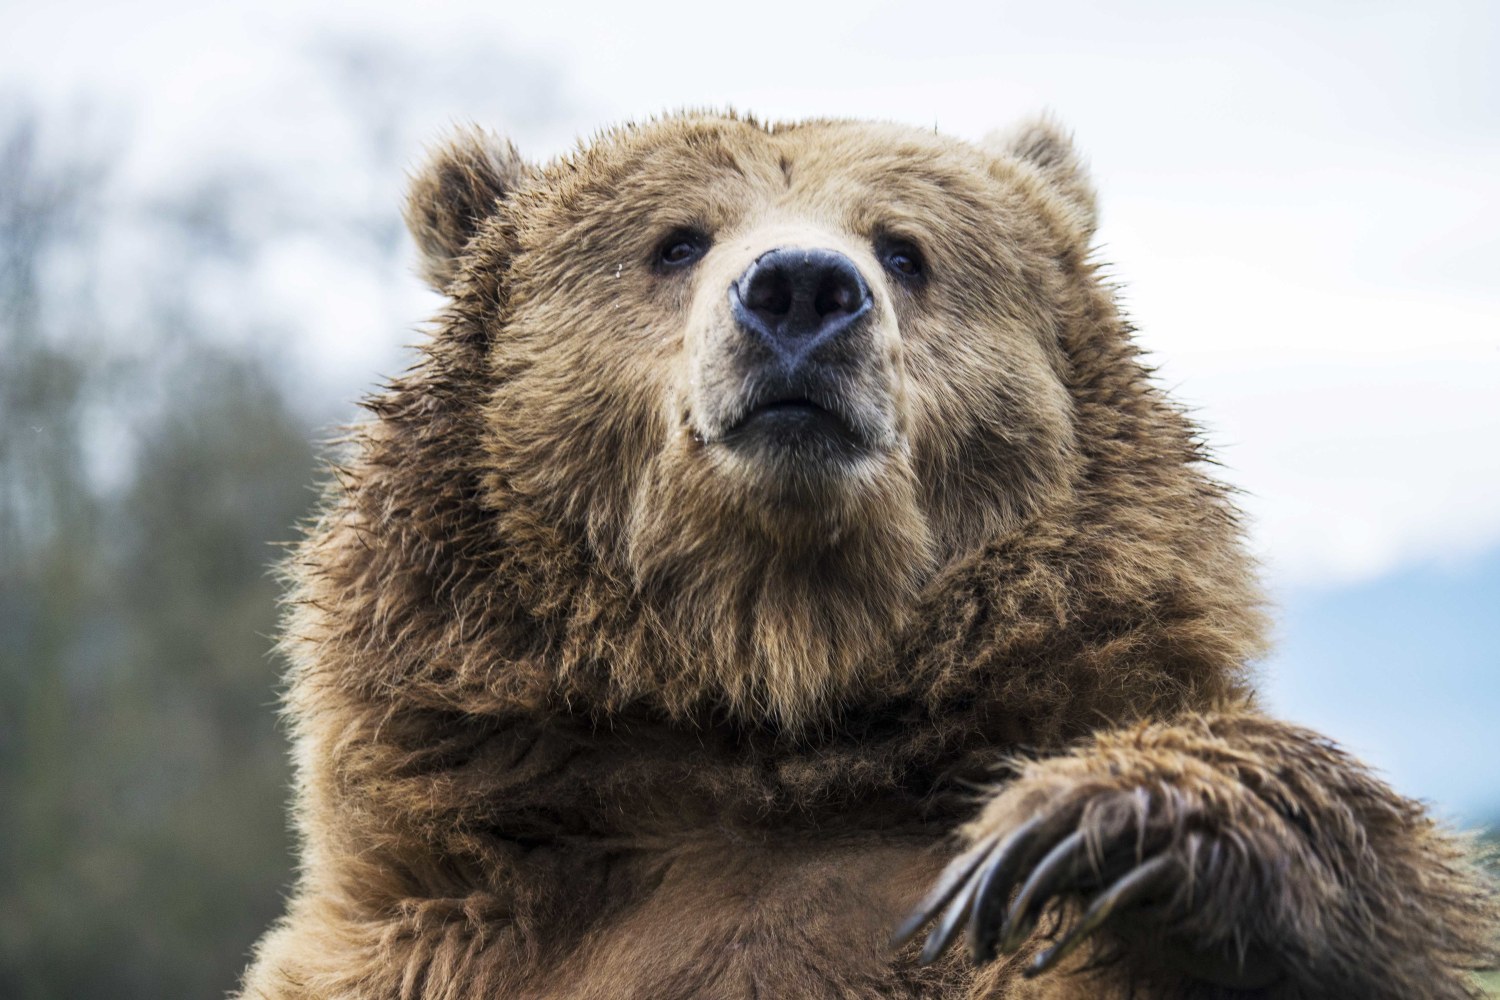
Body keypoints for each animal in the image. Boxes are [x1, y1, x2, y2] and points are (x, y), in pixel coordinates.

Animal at [240, 113, 1494, 995]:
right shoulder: (446, 934)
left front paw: (1094, 823)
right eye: (676, 240)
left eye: (905, 247)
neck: (785, 688)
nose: (801, 288)